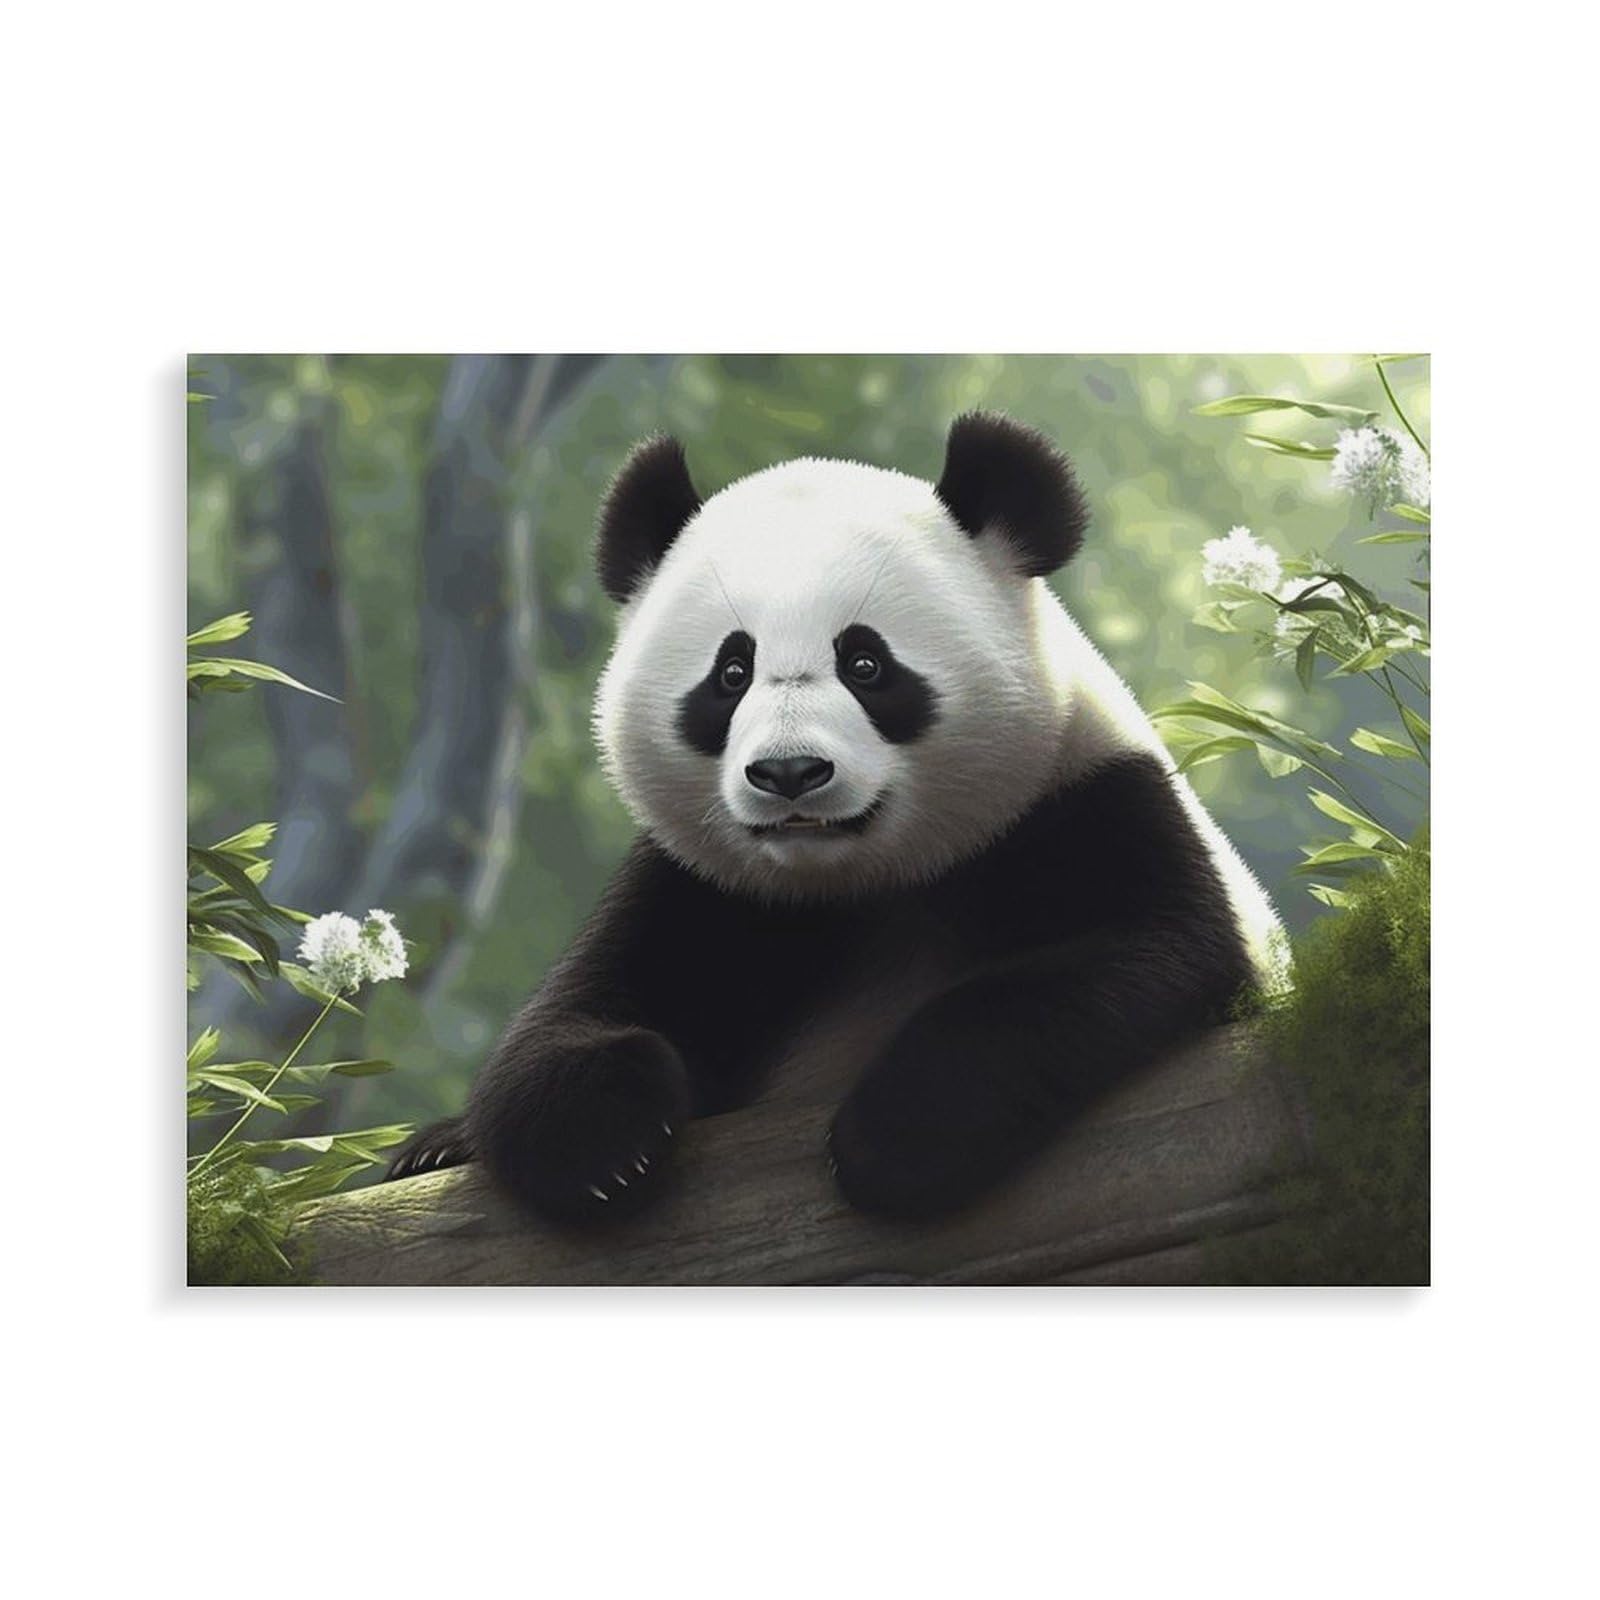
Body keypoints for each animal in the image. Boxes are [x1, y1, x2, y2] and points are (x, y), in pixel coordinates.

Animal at [388, 413, 1283, 1221]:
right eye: (731, 672)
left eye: (865, 663)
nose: (790, 773)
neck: (865, 882)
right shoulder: (705, 887)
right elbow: (578, 1011)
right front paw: (600, 1143)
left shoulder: (1087, 803)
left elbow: (1137, 954)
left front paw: (901, 1136)